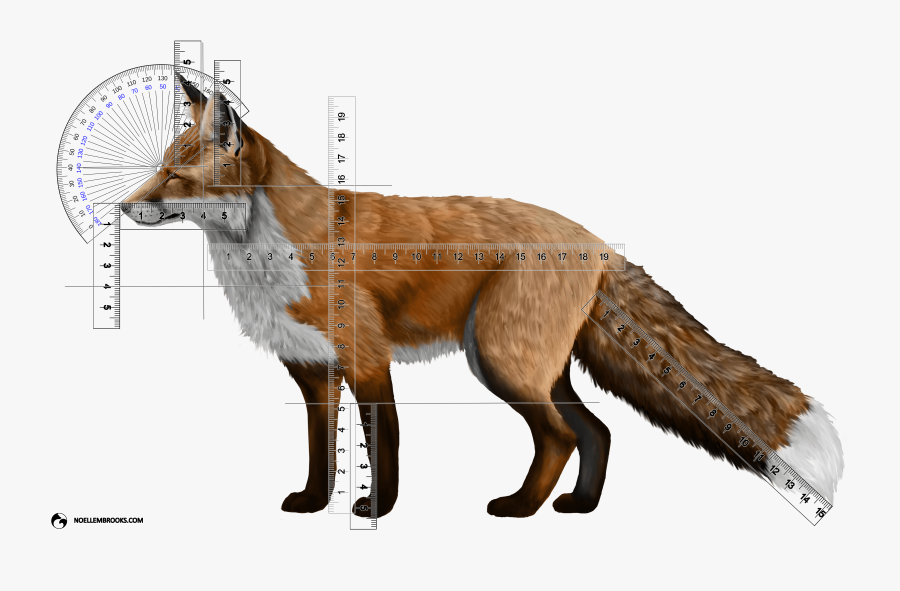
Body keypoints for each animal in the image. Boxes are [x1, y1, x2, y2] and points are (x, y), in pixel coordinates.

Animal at [119, 75, 844, 518]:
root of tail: (595, 240)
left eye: (176, 177)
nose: (124, 208)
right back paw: (579, 508)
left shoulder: (366, 357)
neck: (268, 250)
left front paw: (377, 511)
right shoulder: (312, 368)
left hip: (500, 360)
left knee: (560, 436)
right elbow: (320, 450)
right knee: (598, 430)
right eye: (159, 168)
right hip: (532, 365)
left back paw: (521, 508)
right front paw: (313, 504)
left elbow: (384, 444)